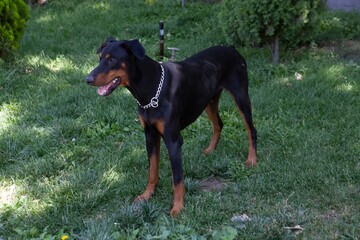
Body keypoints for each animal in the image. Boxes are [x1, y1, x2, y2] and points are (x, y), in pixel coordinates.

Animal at [86, 38, 258, 217]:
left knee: (251, 129)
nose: (87, 79)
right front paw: (147, 195)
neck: (151, 89)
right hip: (208, 100)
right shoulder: (150, 135)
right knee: (218, 124)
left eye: (112, 60)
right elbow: (152, 170)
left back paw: (252, 159)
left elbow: (177, 179)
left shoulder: (173, 140)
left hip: (240, 96)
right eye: (100, 58)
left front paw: (178, 208)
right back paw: (210, 150)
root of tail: (232, 48)